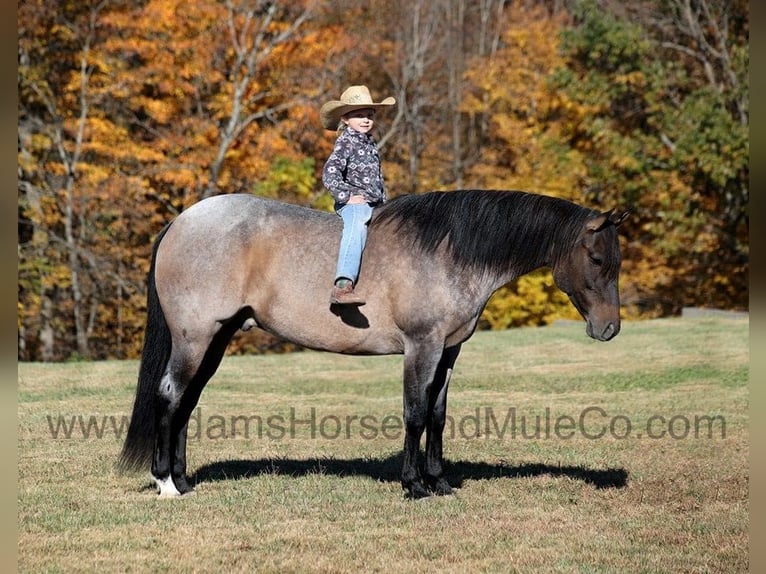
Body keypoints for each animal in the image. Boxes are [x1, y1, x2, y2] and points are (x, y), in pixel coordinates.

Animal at [118, 189, 629, 499]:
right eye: (597, 258)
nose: (609, 329)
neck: (448, 252)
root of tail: (182, 221)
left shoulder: (448, 351)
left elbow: (437, 416)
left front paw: (440, 482)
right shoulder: (422, 347)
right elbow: (415, 413)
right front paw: (413, 486)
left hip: (216, 339)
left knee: (186, 403)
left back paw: (183, 480)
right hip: (195, 337)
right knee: (170, 396)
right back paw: (165, 483)